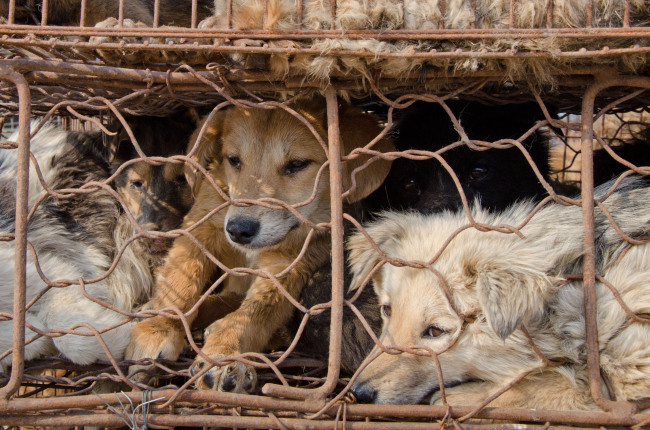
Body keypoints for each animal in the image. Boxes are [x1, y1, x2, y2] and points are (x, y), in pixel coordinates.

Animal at [124, 98, 392, 394]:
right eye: (233, 160)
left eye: (297, 164)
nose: (239, 230)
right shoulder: (201, 223)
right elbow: (180, 281)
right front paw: (158, 328)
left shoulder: (289, 263)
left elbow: (253, 314)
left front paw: (223, 353)